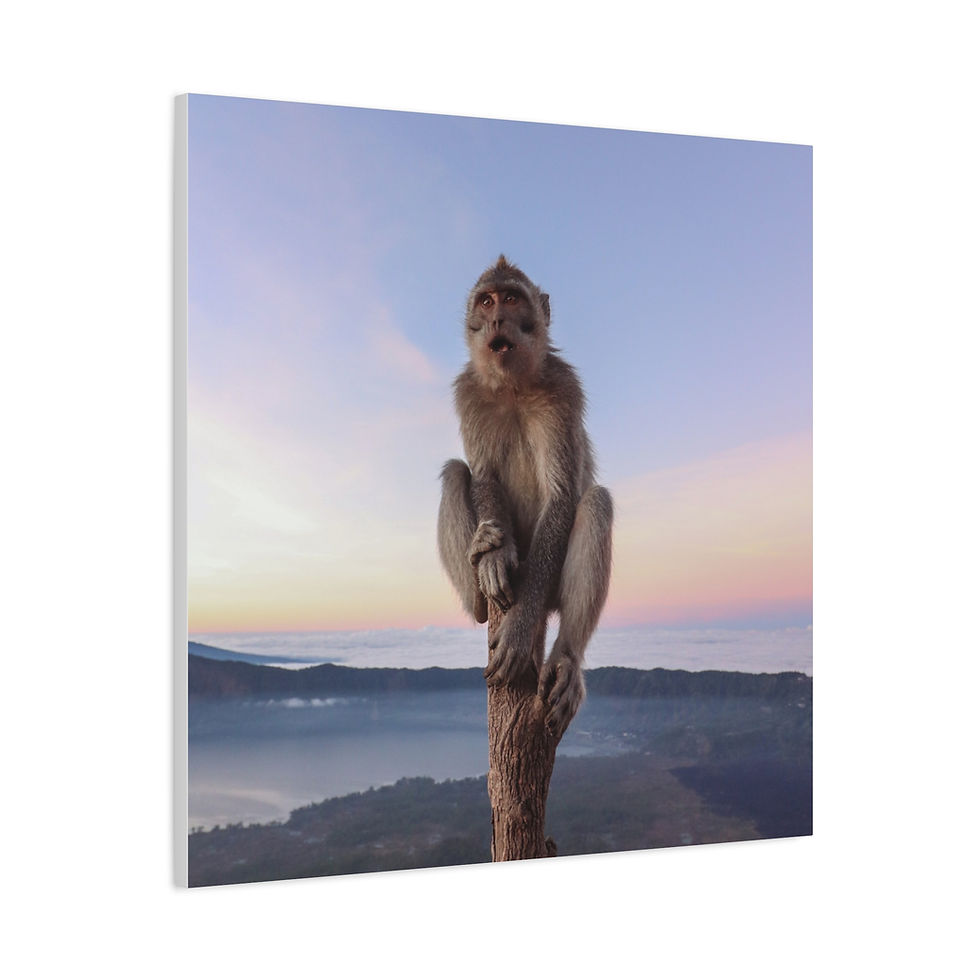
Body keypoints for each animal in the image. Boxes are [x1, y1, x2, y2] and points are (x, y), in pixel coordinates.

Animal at [438, 255, 613, 737]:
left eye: (512, 299)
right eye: (486, 301)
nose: (498, 318)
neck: (512, 387)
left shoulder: (564, 389)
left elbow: (563, 495)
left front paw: (517, 631)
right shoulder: (468, 392)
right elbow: (482, 475)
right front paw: (495, 558)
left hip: (550, 584)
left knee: (596, 503)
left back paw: (566, 658)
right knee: (455, 473)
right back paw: (480, 588)